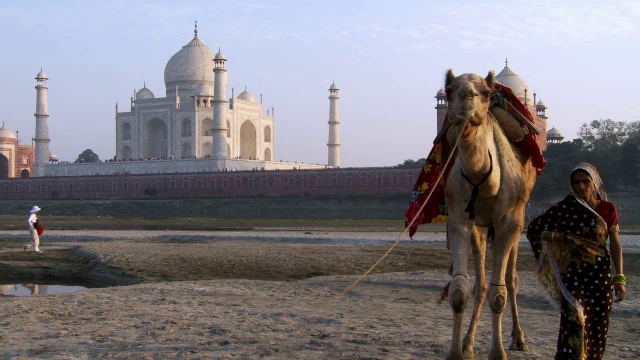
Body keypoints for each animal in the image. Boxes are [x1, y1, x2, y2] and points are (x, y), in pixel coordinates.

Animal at [442, 69, 536, 358]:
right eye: (449, 90)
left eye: (484, 92)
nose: (466, 97)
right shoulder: (459, 218)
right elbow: (460, 291)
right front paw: (456, 352)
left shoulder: (509, 221)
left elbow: (499, 294)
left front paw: (497, 352)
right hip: (480, 226)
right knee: (481, 284)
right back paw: (468, 342)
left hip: (519, 217)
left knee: (511, 279)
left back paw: (518, 338)